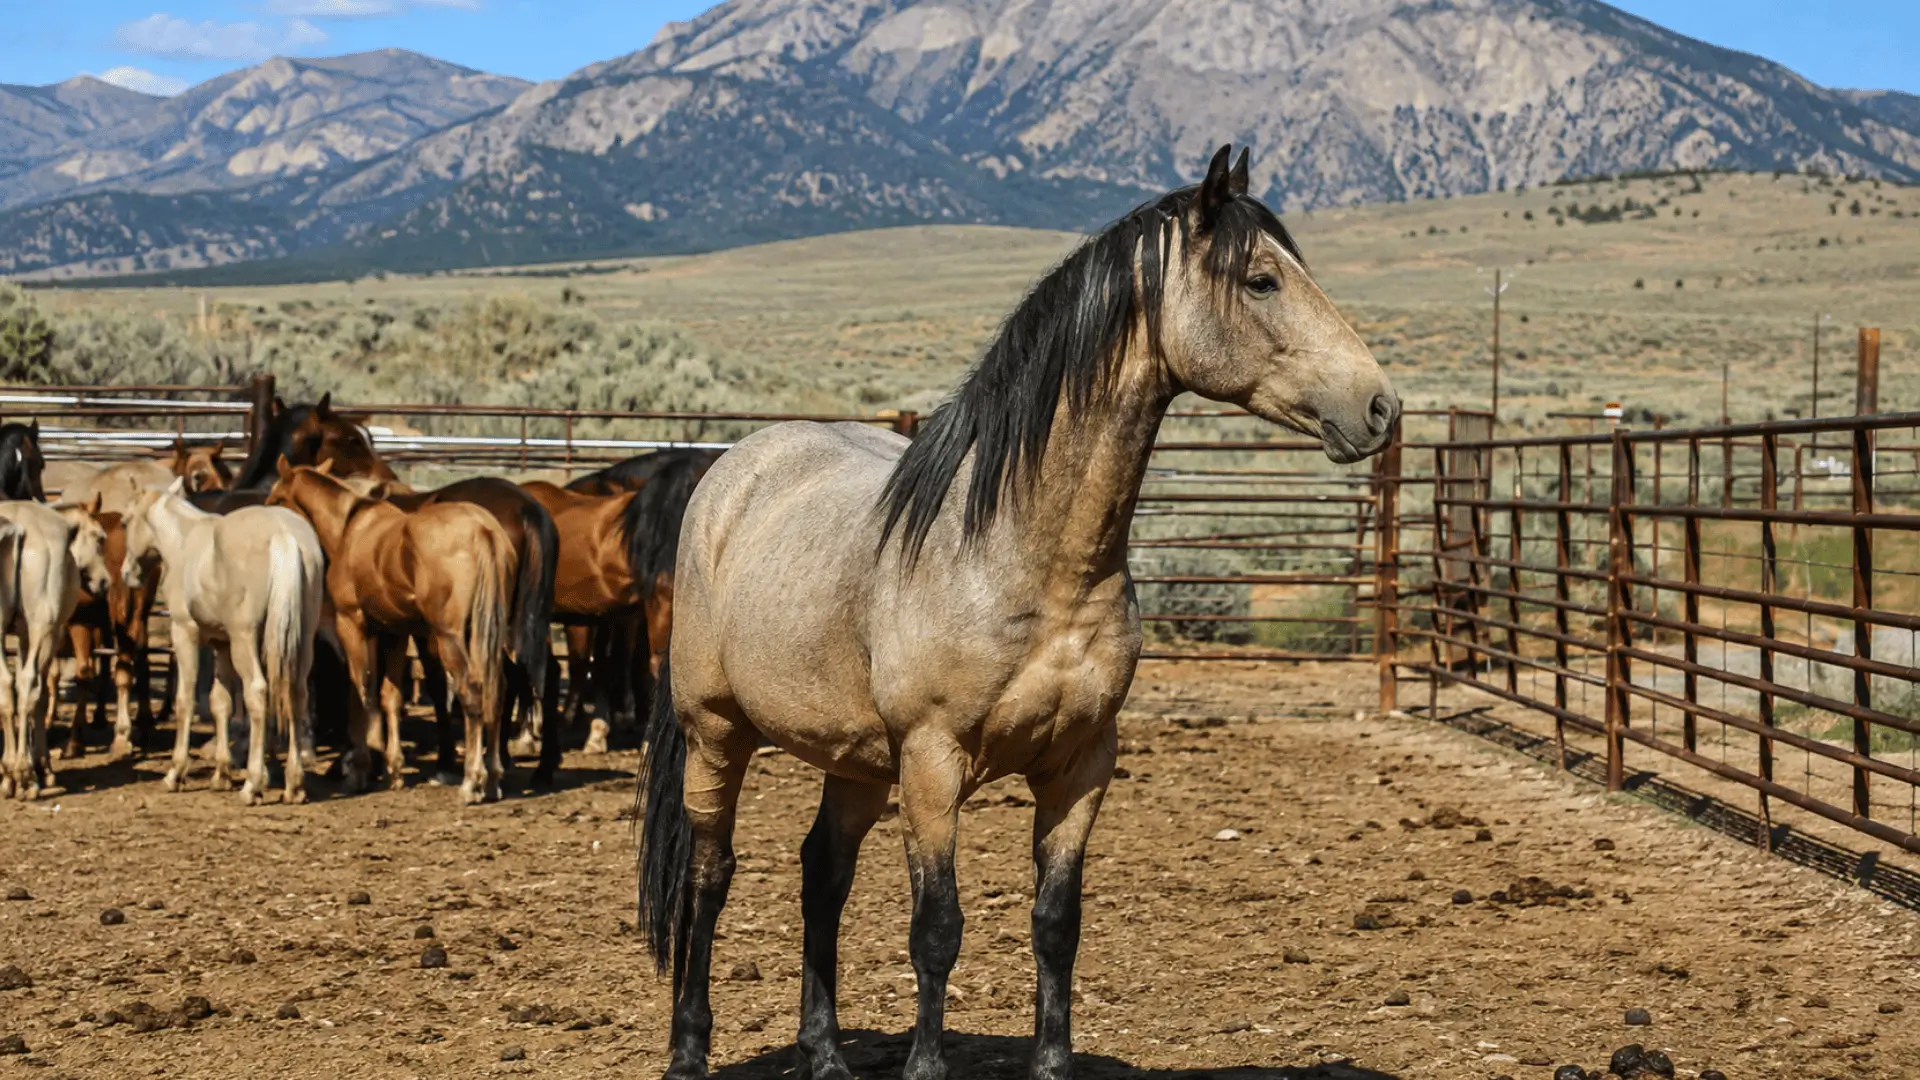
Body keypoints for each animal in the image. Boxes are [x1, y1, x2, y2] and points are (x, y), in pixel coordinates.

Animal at [0, 500, 112, 799]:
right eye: (99, 538)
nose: (105, 581)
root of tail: (17, 527)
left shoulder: (22, 636)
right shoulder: (47, 633)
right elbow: (39, 695)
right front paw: (42, 766)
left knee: (6, 685)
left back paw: (9, 774)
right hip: (45, 628)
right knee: (29, 685)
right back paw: (24, 776)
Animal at [121, 483, 327, 805]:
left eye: (124, 522)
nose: (127, 574)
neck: (184, 543)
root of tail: (284, 535)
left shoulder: (185, 633)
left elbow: (185, 700)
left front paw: (175, 773)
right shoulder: (222, 644)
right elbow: (221, 703)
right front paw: (221, 775)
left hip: (245, 639)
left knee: (257, 692)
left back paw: (252, 785)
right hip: (300, 642)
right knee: (295, 694)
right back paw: (294, 785)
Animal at [266, 460, 515, 804]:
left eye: (277, 497)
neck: (349, 529)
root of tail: (482, 530)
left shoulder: (351, 624)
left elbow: (360, 693)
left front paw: (359, 771)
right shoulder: (394, 633)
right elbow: (390, 697)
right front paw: (394, 770)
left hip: (450, 637)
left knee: (472, 692)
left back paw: (471, 782)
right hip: (482, 633)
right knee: (496, 690)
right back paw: (492, 779)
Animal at [635, 147, 1399, 1080]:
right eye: (1260, 280)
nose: (1379, 407)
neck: (1023, 559)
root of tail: (728, 471)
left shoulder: (1081, 765)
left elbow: (1057, 926)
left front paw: (1052, 1062)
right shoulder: (932, 765)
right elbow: (936, 930)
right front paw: (926, 1066)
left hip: (855, 759)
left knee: (823, 874)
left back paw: (825, 1055)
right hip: (717, 733)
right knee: (710, 877)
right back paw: (687, 1051)